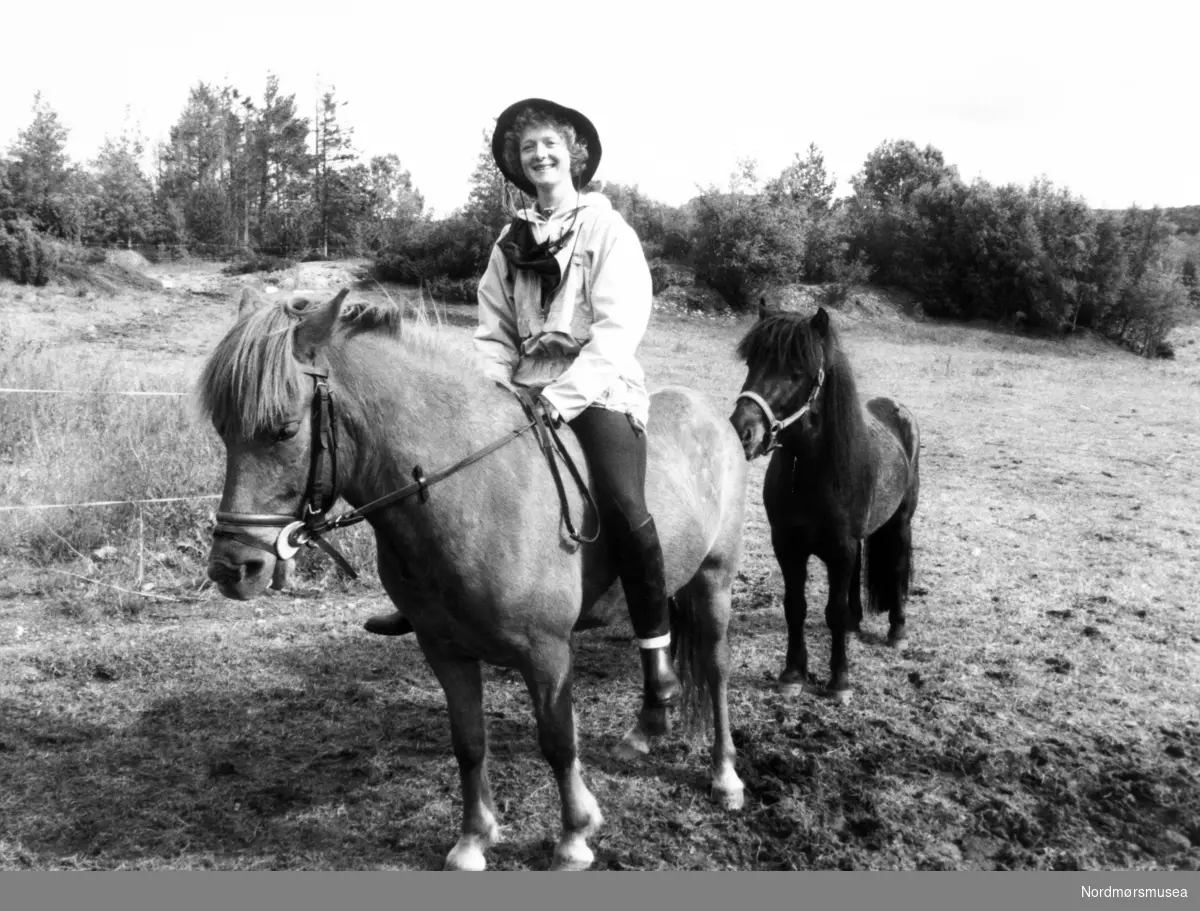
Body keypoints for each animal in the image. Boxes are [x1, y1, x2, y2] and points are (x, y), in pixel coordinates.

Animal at [729, 302, 916, 700]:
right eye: (751, 363)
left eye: (796, 371)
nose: (743, 431)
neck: (813, 470)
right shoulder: (788, 546)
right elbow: (795, 606)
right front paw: (792, 673)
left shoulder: (840, 549)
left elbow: (833, 611)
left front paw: (839, 681)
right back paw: (857, 623)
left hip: (901, 522)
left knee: (897, 566)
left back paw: (897, 630)